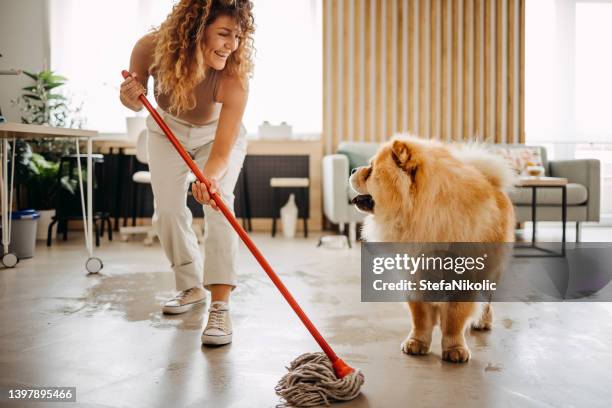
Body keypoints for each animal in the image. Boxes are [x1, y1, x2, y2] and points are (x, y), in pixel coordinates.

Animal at [352, 137, 512, 364]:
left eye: (371, 169)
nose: (353, 169)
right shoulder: (414, 277)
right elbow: (420, 317)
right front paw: (416, 343)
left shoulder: (463, 280)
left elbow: (454, 319)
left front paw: (455, 349)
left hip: (492, 270)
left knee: (487, 299)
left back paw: (482, 322)